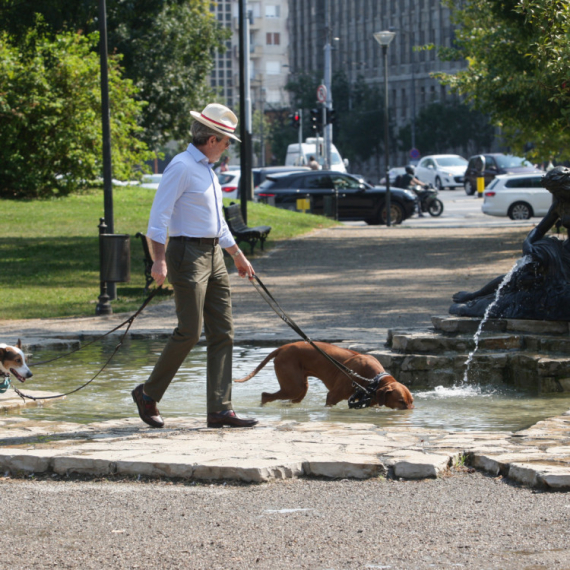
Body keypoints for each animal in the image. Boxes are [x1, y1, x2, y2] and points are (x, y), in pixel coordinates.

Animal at [235, 340, 412, 406]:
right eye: (401, 402)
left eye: (411, 402)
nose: (410, 412)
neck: (374, 379)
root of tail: (282, 347)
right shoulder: (332, 396)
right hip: (294, 387)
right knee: (265, 395)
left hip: (300, 387)